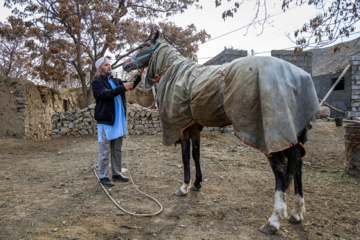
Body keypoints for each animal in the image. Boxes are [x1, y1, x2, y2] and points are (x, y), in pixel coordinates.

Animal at [122, 30, 320, 234]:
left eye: (142, 46)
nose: (125, 65)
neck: (177, 74)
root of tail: (296, 76)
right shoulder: (194, 127)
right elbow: (196, 154)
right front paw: (196, 183)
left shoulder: (183, 129)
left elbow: (185, 157)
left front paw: (184, 187)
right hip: (292, 135)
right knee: (298, 167)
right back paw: (297, 213)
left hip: (271, 138)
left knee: (281, 171)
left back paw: (273, 221)